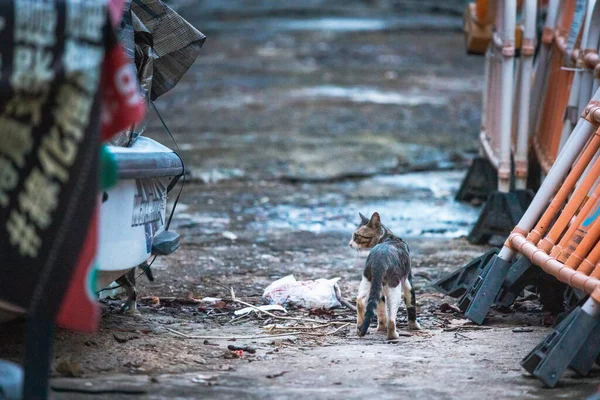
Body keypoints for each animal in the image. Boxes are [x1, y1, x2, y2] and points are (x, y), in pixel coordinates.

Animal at [350, 211, 420, 340]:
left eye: (356, 235)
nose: (350, 244)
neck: (388, 237)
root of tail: (379, 260)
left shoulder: (378, 288)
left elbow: (380, 308)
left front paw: (381, 328)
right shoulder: (408, 279)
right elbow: (411, 302)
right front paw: (415, 326)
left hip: (367, 279)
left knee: (360, 300)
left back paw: (360, 328)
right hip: (394, 286)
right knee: (392, 318)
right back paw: (393, 335)